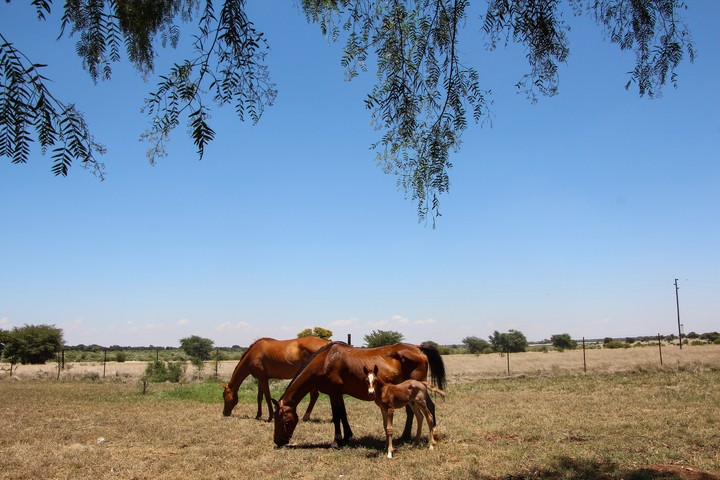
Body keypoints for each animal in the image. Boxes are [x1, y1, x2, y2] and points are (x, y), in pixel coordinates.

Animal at [272, 341, 446, 448]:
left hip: (419, 392)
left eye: (284, 420)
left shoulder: (334, 393)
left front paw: (337, 441)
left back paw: (433, 436)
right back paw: (405, 436)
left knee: (430, 407)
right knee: (413, 412)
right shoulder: (338, 394)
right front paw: (347, 436)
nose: (278, 441)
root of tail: (418, 348)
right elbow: (343, 415)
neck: (325, 361)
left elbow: (337, 416)